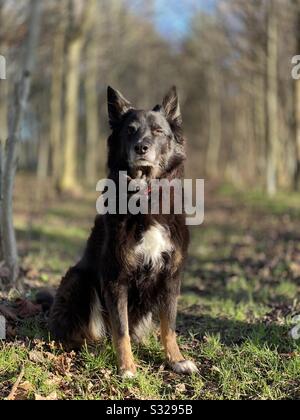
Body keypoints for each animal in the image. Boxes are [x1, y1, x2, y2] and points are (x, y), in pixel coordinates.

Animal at [49, 86, 197, 378]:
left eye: (158, 131)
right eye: (130, 130)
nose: (141, 147)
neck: (146, 198)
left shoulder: (171, 276)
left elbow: (169, 325)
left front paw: (176, 359)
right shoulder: (115, 278)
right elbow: (121, 329)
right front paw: (127, 367)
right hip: (79, 280)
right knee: (83, 332)